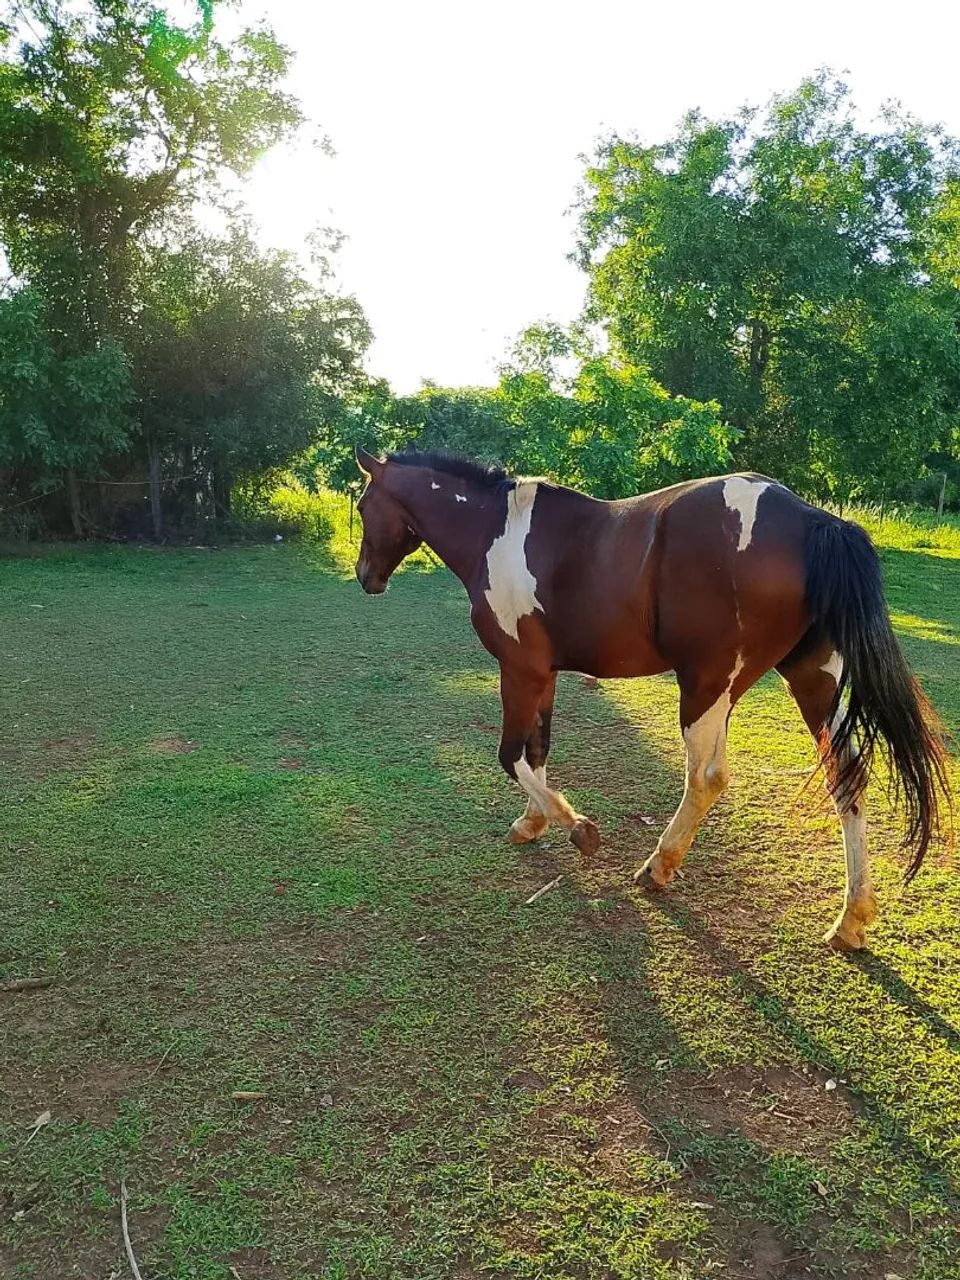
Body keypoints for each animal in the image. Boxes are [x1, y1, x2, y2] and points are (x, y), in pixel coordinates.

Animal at [353, 447, 948, 952]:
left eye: (361, 506)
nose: (365, 577)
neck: (497, 532)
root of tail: (813, 520)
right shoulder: (544, 675)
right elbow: (537, 751)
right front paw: (533, 821)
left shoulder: (520, 670)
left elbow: (511, 755)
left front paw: (576, 827)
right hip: (812, 679)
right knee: (846, 776)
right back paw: (851, 919)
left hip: (708, 686)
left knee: (707, 777)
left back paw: (659, 866)